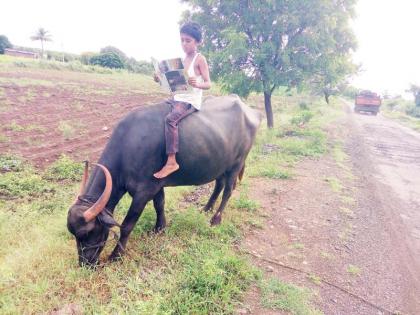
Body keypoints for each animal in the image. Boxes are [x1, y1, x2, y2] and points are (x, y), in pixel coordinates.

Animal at [67, 95, 260, 266]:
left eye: (89, 232)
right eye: (74, 234)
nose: (85, 263)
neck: (129, 147)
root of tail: (248, 110)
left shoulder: (142, 192)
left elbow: (127, 225)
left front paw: (116, 255)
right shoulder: (155, 185)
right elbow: (159, 204)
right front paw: (159, 228)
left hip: (236, 164)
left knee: (228, 190)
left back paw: (215, 219)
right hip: (220, 164)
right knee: (218, 185)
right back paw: (206, 209)